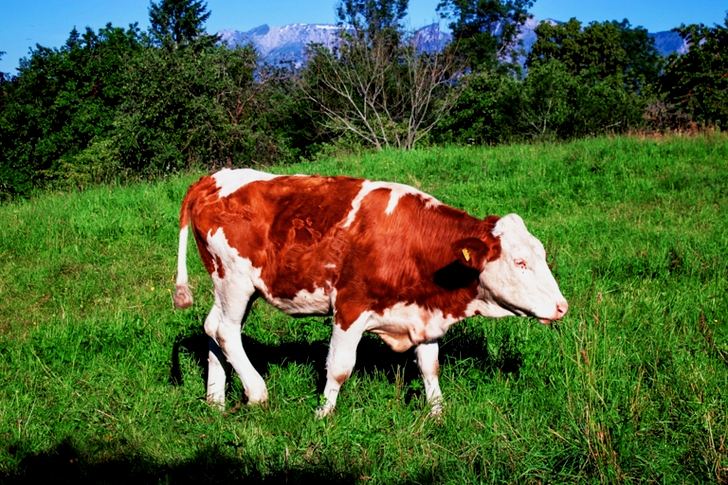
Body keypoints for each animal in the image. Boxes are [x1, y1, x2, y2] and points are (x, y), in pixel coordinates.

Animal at [174, 168, 568, 416]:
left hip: (234, 286)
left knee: (213, 328)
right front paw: (323, 415)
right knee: (226, 331)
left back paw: (215, 400)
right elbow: (339, 368)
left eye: (541, 254)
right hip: (234, 279)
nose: (562, 306)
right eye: (519, 262)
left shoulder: (422, 313)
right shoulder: (350, 306)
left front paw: (437, 414)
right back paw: (257, 393)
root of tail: (213, 177)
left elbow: (430, 366)